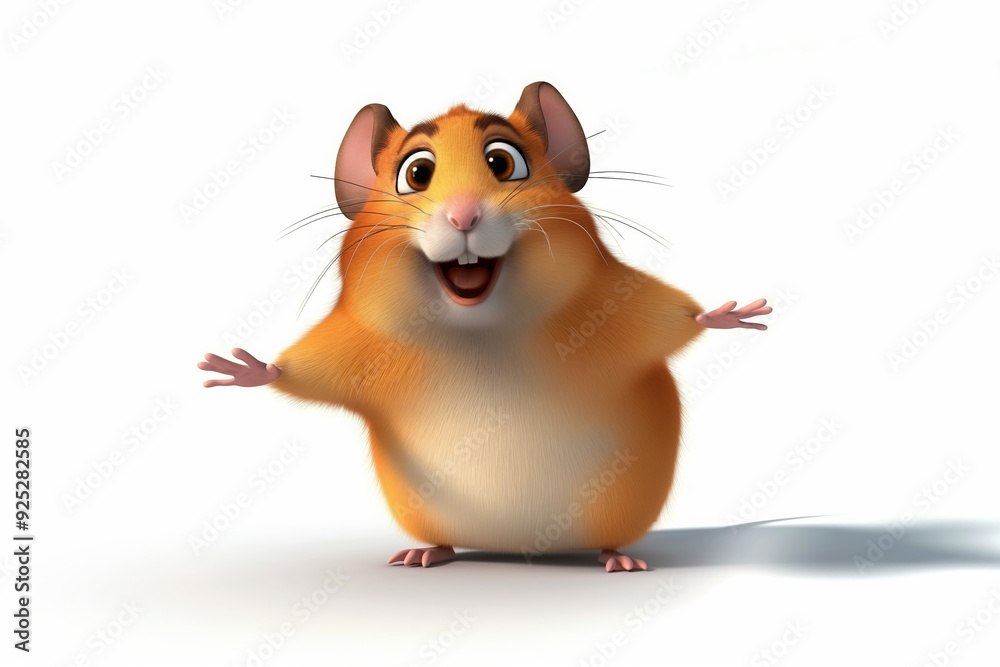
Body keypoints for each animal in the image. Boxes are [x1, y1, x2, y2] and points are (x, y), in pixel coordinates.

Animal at [198, 82, 770, 572]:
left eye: (502, 161)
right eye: (417, 173)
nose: (463, 217)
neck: (480, 331)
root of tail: (523, 549)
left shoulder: (616, 307)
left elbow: (669, 318)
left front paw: (725, 314)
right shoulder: (360, 345)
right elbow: (309, 370)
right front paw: (247, 369)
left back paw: (616, 557)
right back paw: (429, 552)